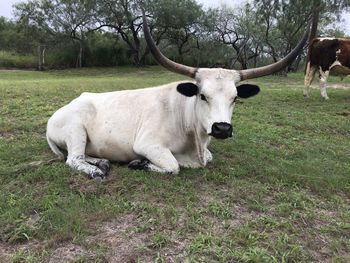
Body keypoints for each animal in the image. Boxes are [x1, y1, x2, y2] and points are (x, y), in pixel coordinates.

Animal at [46, 13, 308, 179]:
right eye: (202, 96)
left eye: (235, 98)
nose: (222, 128)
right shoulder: (148, 144)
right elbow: (173, 166)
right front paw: (140, 163)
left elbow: (208, 158)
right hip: (75, 130)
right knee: (73, 159)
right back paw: (96, 171)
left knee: (82, 156)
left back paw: (101, 161)